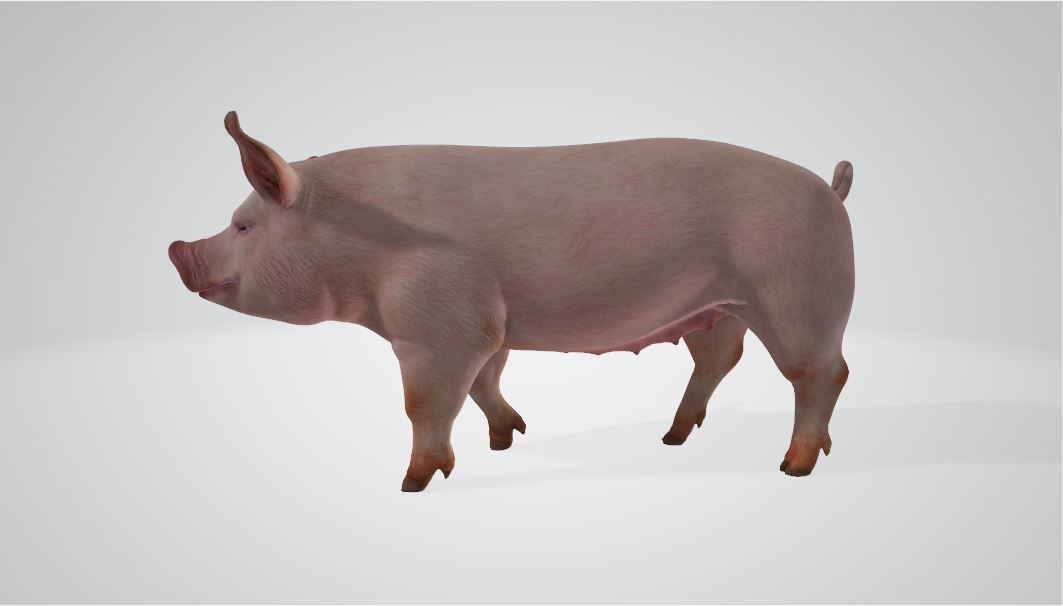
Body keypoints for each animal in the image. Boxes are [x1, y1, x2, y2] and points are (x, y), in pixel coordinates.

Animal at [168, 111, 855, 492]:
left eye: (244, 226)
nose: (177, 249)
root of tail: (831, 187)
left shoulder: (437, 322)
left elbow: (428, 401)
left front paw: (411, 484)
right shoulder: (488, 323)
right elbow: (486, 379)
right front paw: (507, 440)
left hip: (799, 295)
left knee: (824, 373)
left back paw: (794, 467)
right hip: (714, 308)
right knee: (720, 358)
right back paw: (672, 438)